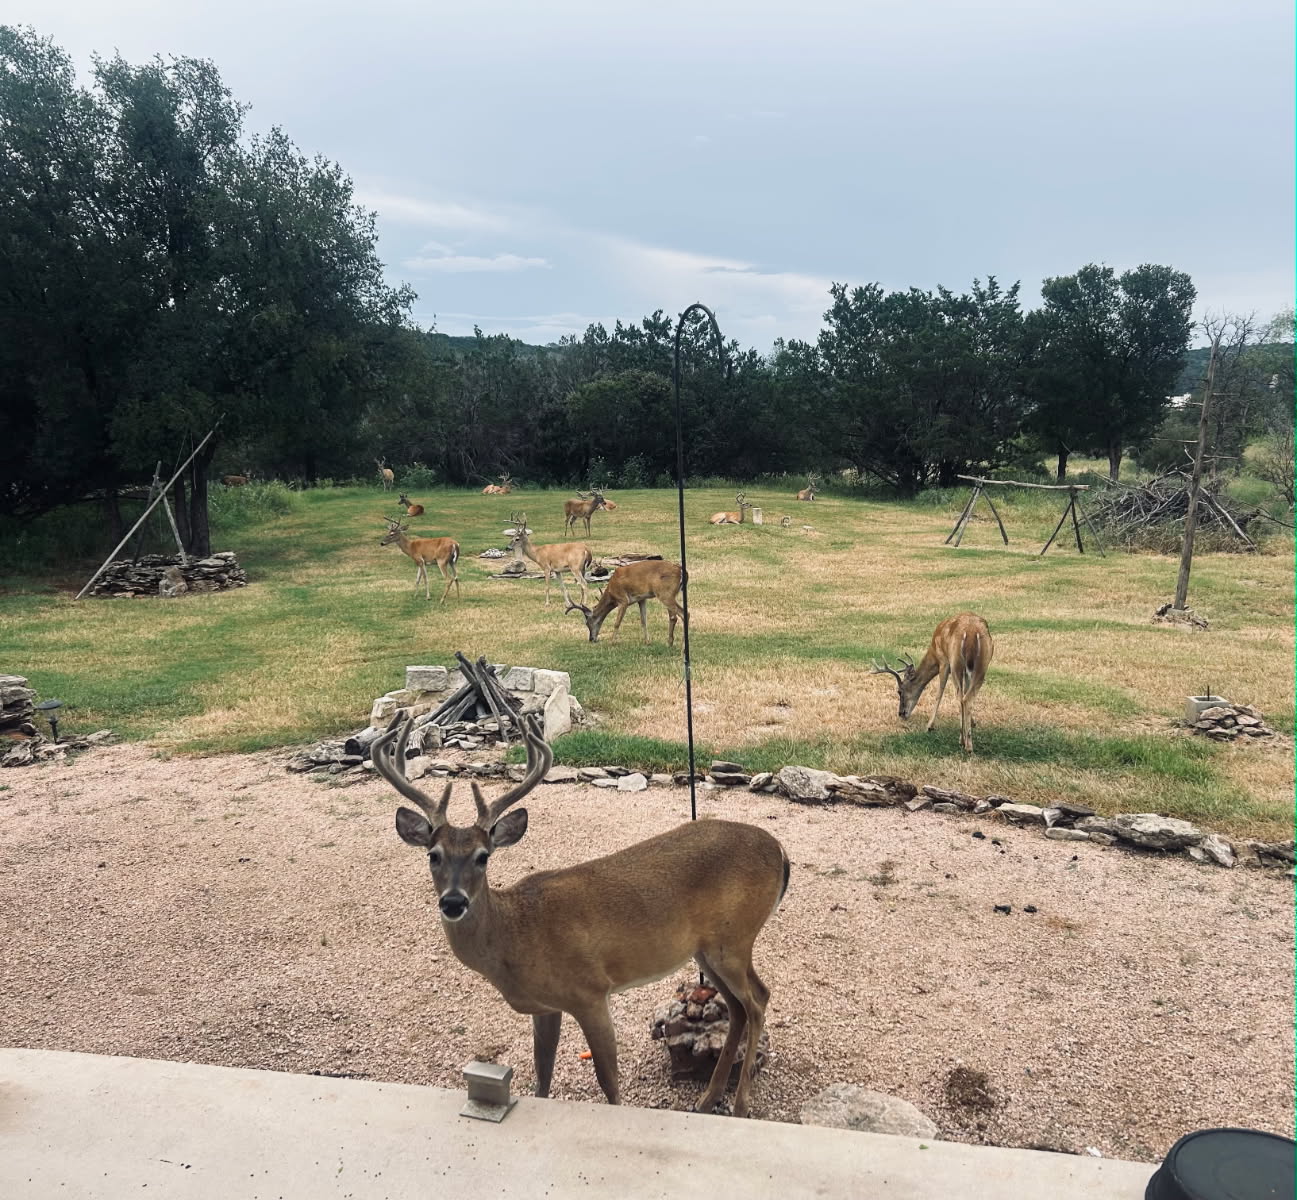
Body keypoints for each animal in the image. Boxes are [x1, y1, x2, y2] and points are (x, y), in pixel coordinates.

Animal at [377, 712, 789, 1117]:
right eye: (433, 855)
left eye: (483, 856)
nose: (453, 902)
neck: (517, 935)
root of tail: (781, 853)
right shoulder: (545, 1008)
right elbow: (542, 1073)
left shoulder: (591, 991)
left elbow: (608, 1081)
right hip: (706, 948)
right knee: (737, 1007)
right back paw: (707, 1100)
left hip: (734, 938)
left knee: (757, 1001)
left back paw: (740, 1106)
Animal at [871, 612, 993, 753]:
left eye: (899, 691)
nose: (901, 713)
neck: (933, 650)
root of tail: (972, 633)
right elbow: (964, 692)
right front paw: (972, 722)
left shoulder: (944, 661)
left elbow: (939, 693)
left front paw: (929, 726)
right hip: (982, 664)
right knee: (967, 696)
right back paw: (967, 742)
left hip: (955, 662)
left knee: (961, 697)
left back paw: (964, 743)